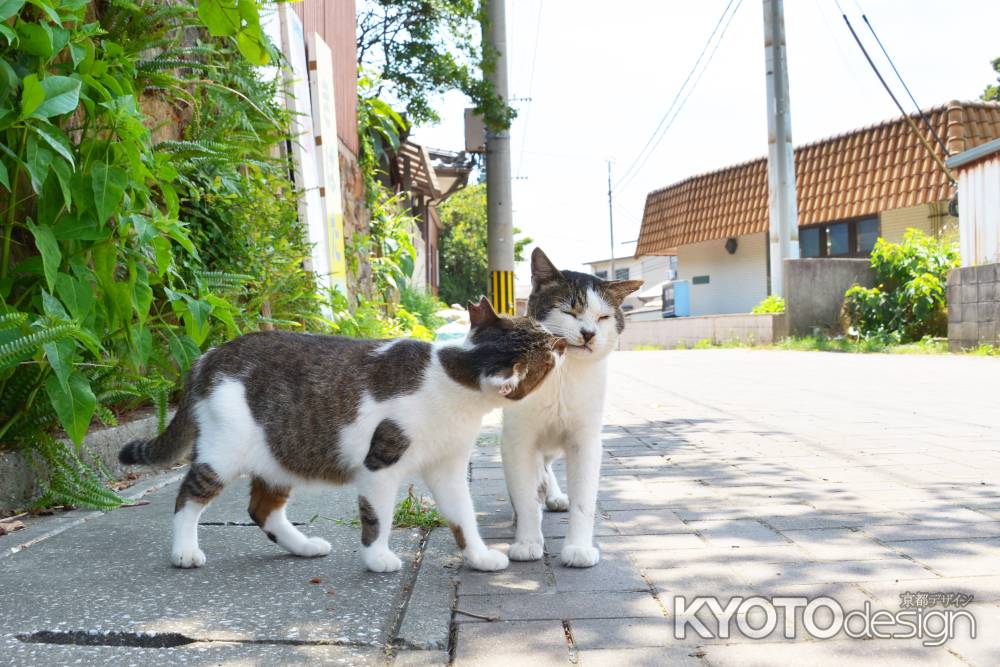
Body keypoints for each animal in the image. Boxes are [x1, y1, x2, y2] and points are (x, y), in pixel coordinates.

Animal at [119, 300, 564, 572]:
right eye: (545, 354)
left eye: (539, 332)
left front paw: (479, 556)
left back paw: (303, 546)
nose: (562, 343)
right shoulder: (380, 465)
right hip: (223, 452)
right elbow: (378, 516)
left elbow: (463, 516)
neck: (453, 378)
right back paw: (184, 551)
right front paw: (377, 557)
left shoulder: (448, 467)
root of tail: (208, 356)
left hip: (282, 453)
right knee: (188, 497)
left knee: (263, 510)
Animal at [504, 250, 644, 568]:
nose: (589, 333)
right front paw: (527, 542)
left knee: (546, 466)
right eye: (569, 311)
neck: (562, 371)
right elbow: (525, 495)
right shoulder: (518, 440)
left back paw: (554, 495)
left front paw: (578, 548)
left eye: (603, 317)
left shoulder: (585, 441)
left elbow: (584, 501)